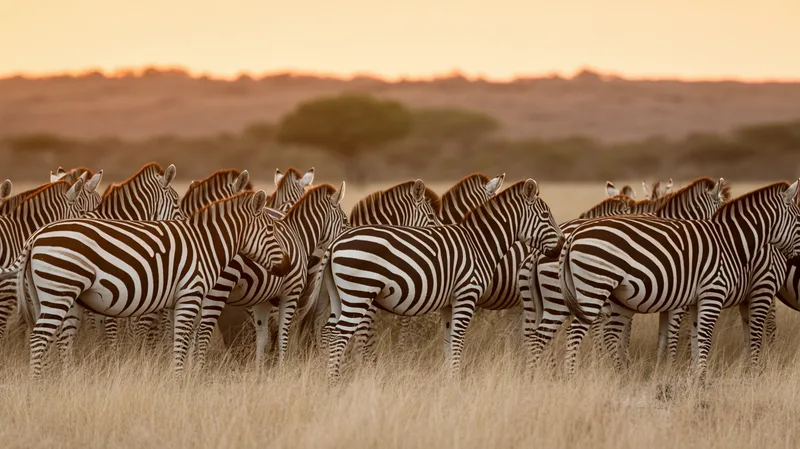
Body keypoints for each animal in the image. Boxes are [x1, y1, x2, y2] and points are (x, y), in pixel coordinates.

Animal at [2, 189, 291, 378]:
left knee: (61, 339)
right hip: (59, 290)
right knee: (39, 337)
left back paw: (67, 380)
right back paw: (38, 385)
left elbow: (184, 337)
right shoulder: (190, 294)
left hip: (62, 295)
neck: (205, 244)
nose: (287, 266)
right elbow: (182, 338)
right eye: (270, 231)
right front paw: (179, 381)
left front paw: (186, 375)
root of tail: (37, 234)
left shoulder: (181, 300)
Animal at [192, 182, 348, 368]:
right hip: (220, 288)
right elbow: (282, 334)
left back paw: (189, 368)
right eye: (345, 221)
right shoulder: (291, 293)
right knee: (202, 331)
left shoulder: (263, 301)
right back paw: (199, 369)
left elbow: (262, 336)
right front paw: (281, 367)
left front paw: (259, 368)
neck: (299, 236)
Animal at [316, 179, 564, 381]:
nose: (562, 246)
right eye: (545, 216)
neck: (479, 244)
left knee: (330, 331)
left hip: (340, 295)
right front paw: (455, 381)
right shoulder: (466, 295)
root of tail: (335, 243)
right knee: (340, 334)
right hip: (359, 294)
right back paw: (334, 382)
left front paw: (447, 379)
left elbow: (448, 340)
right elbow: (457, 339)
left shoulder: (449, 303)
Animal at [519, 178, 728, 371]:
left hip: (539, 303)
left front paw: (655, 364)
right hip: (566, 298)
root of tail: (538, 252)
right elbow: (666, 332)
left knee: (537, 336)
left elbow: (657, 333)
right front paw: (666, 365)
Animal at [560, 180, 800, 382]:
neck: (729, 241)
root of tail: (574, 234)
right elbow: (693, 335)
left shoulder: (690, 298)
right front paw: (683, 373)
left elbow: (686, 336)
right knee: (576, 332)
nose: (797, 259)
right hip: (594, 289)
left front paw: (687, 374)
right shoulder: (706, 295)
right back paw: (573, 375)